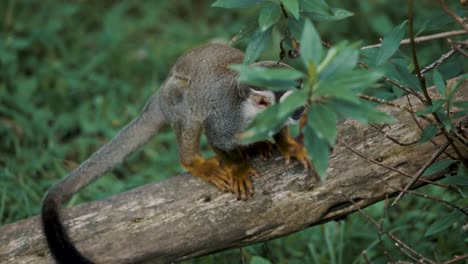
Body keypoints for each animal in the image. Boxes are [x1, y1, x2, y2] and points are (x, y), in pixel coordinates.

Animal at [42, 44, 312, 262]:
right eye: (294, 102)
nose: (303, 109)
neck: (254, 113)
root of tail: (161, 90)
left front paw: (288, 146)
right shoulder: (227, 118)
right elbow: (216, 137)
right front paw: (239, 169)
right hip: (174, 97)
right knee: (189, 112)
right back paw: (194, 162)